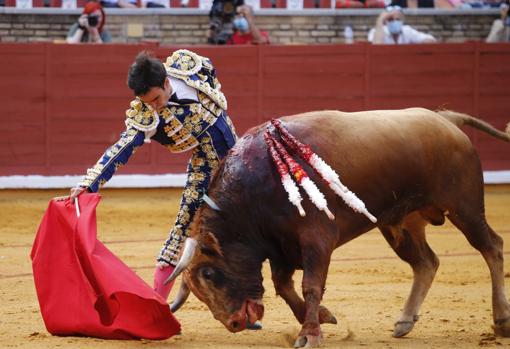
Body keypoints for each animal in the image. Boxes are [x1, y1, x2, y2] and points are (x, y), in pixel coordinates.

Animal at [166, 108, 510, 346]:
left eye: (209, 274)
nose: (234, 323)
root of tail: (446, 118)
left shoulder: (316, 238)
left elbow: (310, 285)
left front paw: (310, 334)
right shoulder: (280, 246)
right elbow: (283, 285)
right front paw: (321, 316)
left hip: (465, 207)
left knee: (491, 247)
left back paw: (501, 320)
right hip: (402, 222)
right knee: (426, 262)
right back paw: (405, 321)